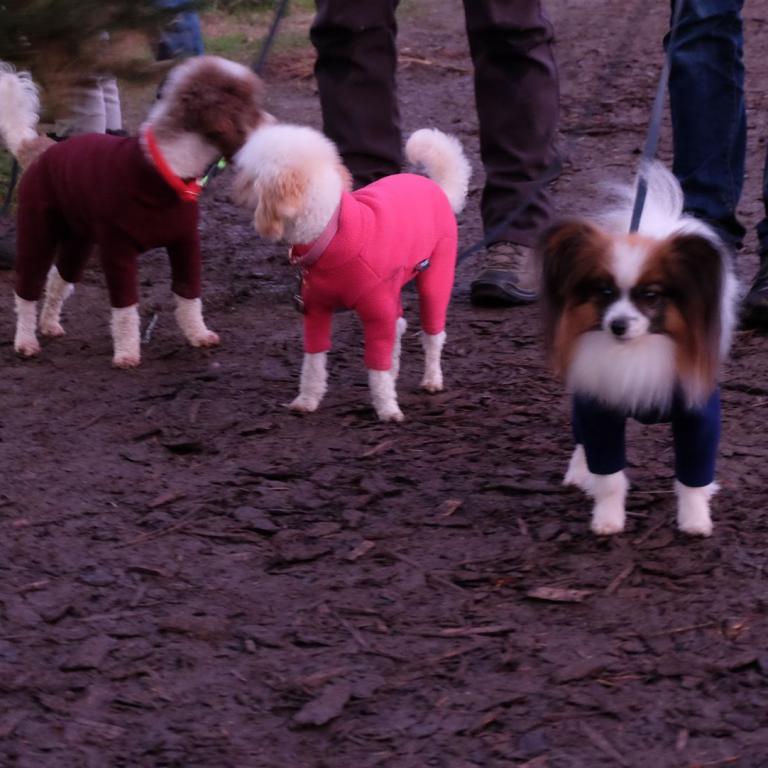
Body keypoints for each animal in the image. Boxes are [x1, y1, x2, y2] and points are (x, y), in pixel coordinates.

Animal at [0, 56, 266, 366]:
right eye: (247, 110)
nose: (272, 127)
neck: (167, 170)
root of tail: (38, 149)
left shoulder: (185, 244)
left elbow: (189, 296)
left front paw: (198, 334)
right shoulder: (119, 250)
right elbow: (125, 308)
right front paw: (127, 352)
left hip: (78, 241)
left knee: (58, 279)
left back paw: (49, 324)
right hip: (38, 233)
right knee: (26, 292)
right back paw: (25, 341)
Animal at [231, 123, 470, 422]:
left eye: (251, 178)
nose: (231, 191)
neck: (329, 234)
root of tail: (438, 188)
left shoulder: (377, 310)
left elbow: (376, 365)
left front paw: (387, 408)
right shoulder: (316, 311)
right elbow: (313, 361)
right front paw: (306, 400)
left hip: (435, 277)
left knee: (433, 335)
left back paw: (432, 379)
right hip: (393, 286)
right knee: (399, 326)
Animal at [538, 162, 738, 536]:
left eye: (651, 296)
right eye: (604, 291)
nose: (618, 325)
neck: (639, 351)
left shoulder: (698, 417)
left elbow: (692, 477)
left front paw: (695, 520)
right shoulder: (599, 408)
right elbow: (609, 476)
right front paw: (607, 519)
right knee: (581, 441)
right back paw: (579, 473)